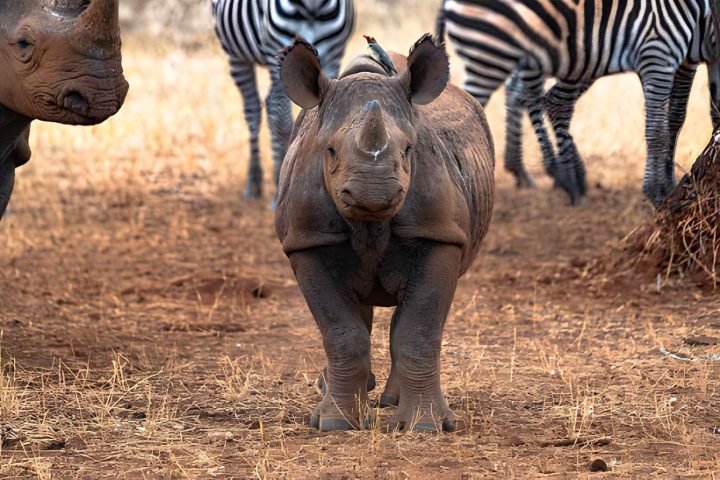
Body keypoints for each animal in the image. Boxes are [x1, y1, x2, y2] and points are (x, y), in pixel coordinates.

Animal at [275, 35, 495, 432]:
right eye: (329, 150)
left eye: (409, 149)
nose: (374, 193)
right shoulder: (307, 240)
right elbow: (341, 332)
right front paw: (335, 423)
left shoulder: (439, 234)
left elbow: (418, 331)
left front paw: (426, 426)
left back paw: (391, 401)